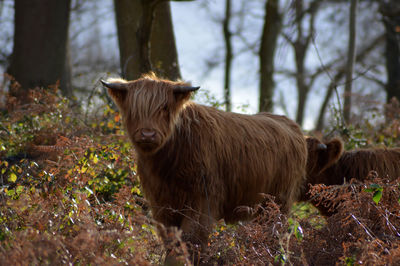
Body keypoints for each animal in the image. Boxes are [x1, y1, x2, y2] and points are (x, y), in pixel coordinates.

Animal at [102, 74, 306, 251]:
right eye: (133, 109)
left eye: (165, 108)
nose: (147, 134)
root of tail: (290, 124)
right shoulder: (161, 204)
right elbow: (172, 241)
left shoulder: (201, 200)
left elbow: (191, 239)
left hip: (277, 204)